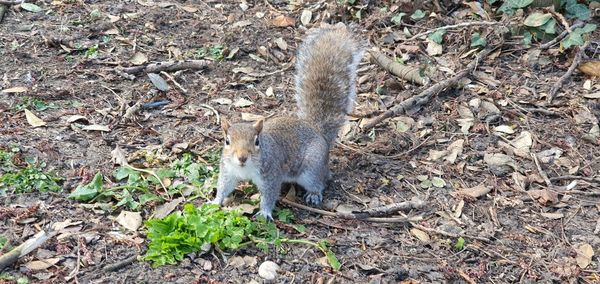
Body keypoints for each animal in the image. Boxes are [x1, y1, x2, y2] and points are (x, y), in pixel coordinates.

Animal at [209, 23, 364, 220]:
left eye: (257, 142)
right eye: (227, 141)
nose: (242, 157)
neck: (245, 168)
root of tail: (317, 132)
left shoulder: (271, 173)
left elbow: (269, 194)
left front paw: (264, 212)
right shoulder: (228, 171)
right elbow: (223, 187)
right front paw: (215, 202)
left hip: (312, 168)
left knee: (319, 182)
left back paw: (314, 194)